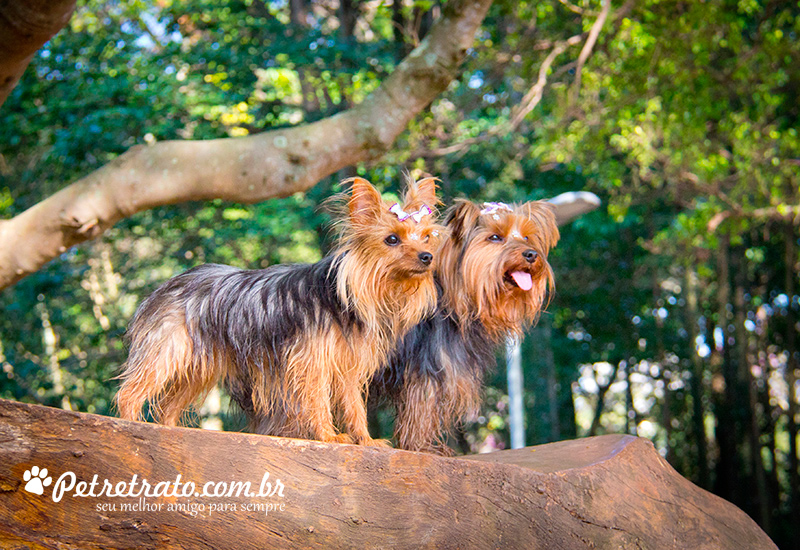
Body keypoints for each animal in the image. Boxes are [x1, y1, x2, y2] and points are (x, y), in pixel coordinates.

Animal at [376, 198, 560, 452]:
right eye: (495, 237)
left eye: (526, 237)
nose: (531, 254)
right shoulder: (426, 366)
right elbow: (421, 408)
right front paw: (422, 447)